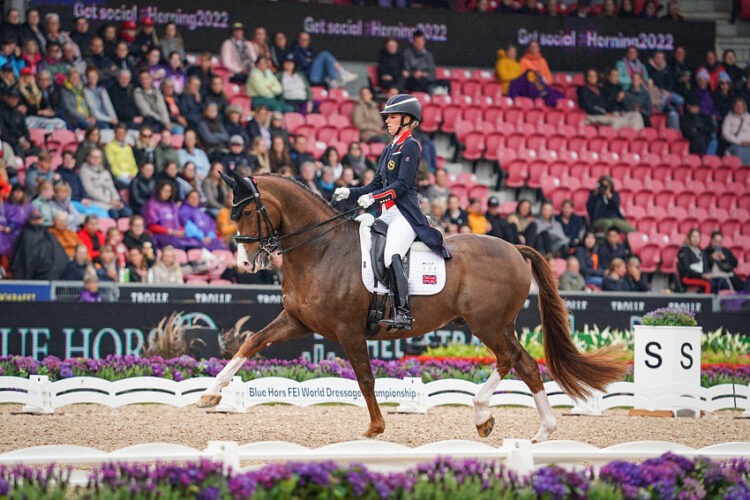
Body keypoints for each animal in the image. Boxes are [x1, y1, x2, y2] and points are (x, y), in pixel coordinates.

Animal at [197, 172, 628, 441]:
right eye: (232, 213)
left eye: (247, 211)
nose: (244, 264)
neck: (321, 249)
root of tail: (513, 248)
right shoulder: (296, 321)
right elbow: (251, 342)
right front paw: (211, 394)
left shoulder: (348, 330)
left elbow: (365, 378)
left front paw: (375, 427)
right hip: (497, 325)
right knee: (523, 362)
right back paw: (530, 428)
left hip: (487, 324)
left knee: (512, 360)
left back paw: (493, 416)